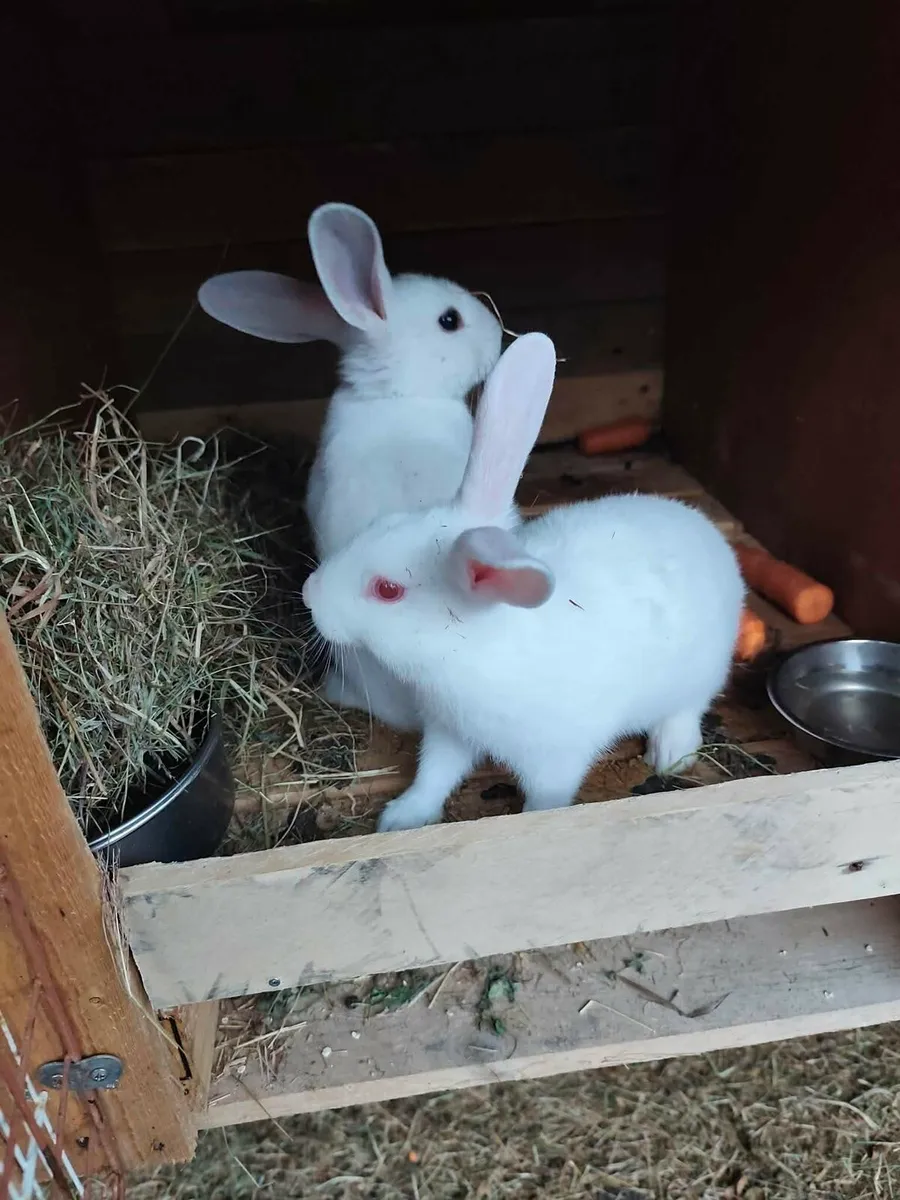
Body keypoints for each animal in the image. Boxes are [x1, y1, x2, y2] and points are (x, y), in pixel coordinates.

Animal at [301, 332, 745, 831]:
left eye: (387, 590)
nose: (310, 593)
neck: (475, 652)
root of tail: (703, 529)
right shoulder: (449, 732)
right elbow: (433, 775)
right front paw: (402, 818)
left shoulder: (555, 759)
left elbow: (544, 800)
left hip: (700, 672)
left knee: (687, 708)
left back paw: (671, 753)